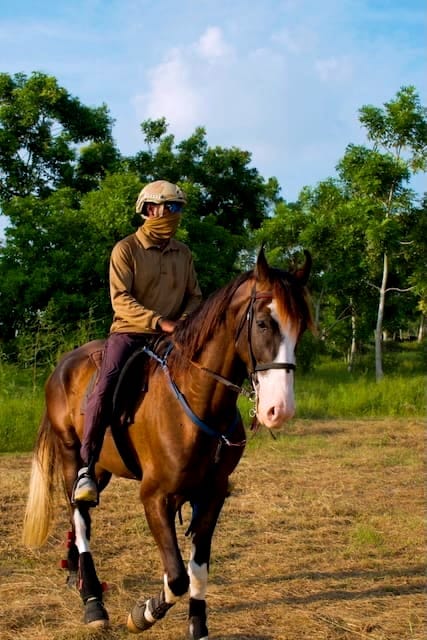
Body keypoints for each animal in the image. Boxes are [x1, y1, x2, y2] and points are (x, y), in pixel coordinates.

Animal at [22, 247, 312, 638]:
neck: (195, 400)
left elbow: (197, 571)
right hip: (73, 457)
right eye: (264, 324)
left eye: (300, 327)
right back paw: (93, 600)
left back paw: (75, 576)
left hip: (102, 468)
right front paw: (143, 612)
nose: (278, 410)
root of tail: (63, 365)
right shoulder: (154, 497)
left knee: (77, 515)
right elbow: (176, 578)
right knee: (80, 516)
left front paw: (197, 625)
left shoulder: (212, 495)